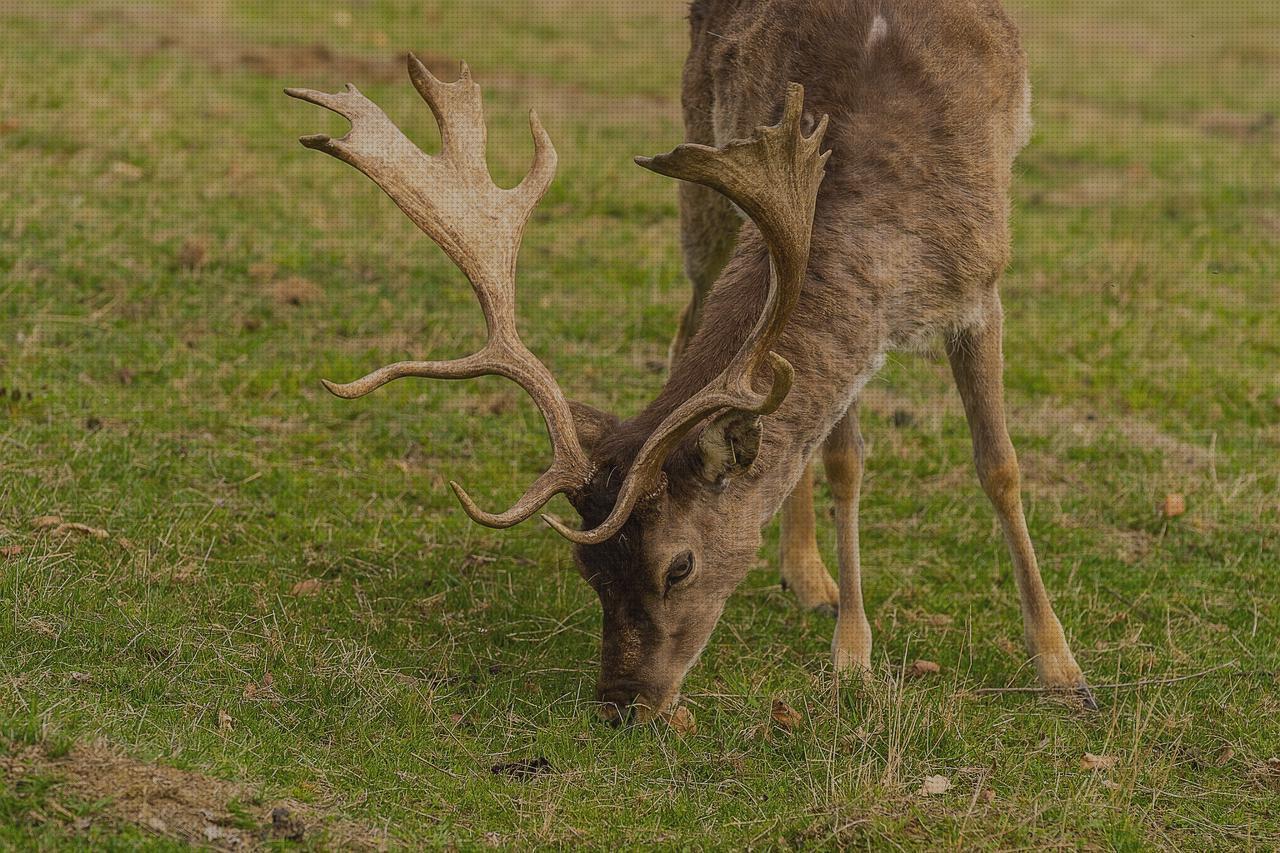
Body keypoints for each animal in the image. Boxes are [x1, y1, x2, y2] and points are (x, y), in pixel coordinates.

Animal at [290, 0, 1090, 722]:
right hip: (705, 184)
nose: (622, 703)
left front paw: (1060, 667)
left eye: (680, 565)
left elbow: (998, 466)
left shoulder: (982, 287)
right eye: (589, 568)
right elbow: (842, 460)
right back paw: (807, 574)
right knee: (693, 331)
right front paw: (854, 652)